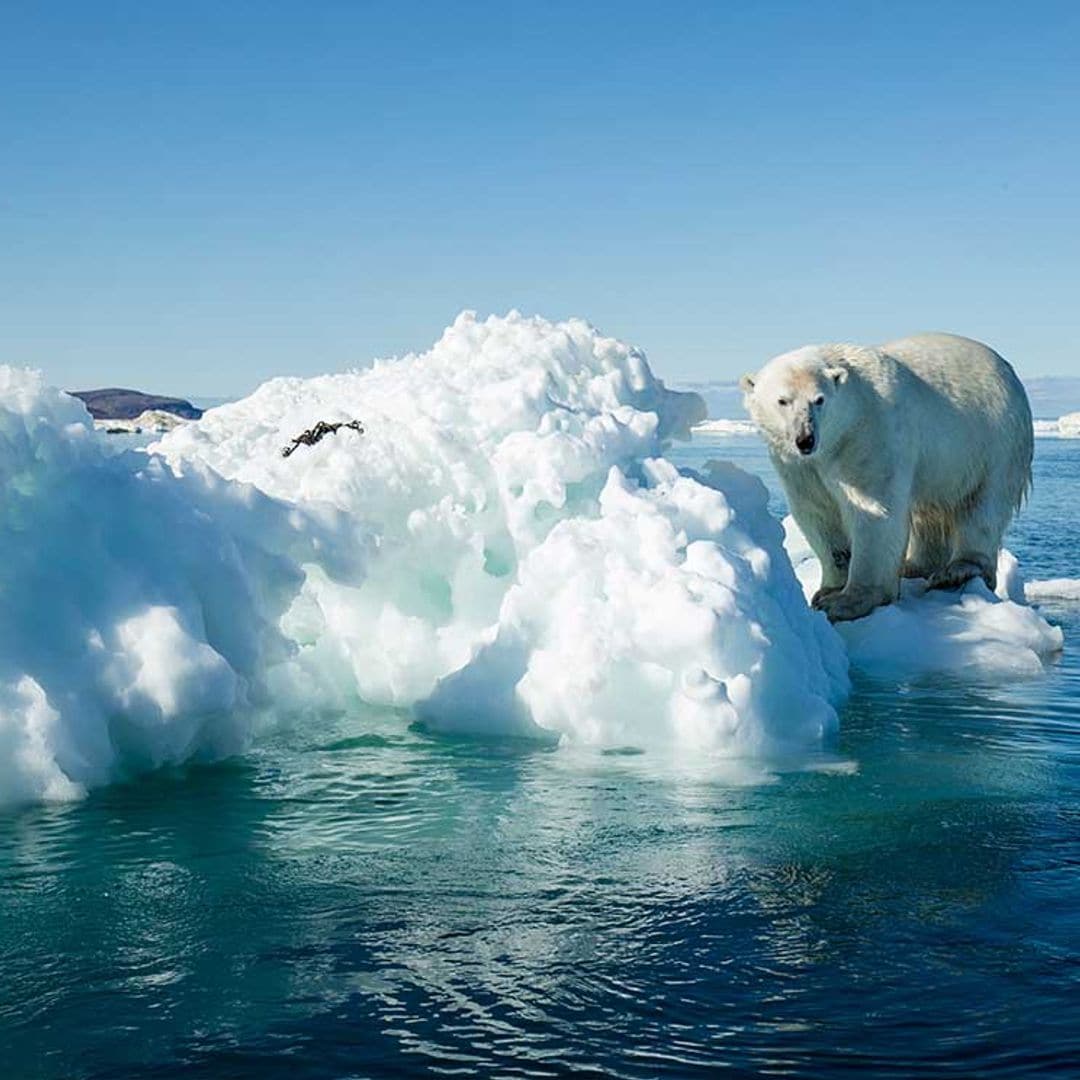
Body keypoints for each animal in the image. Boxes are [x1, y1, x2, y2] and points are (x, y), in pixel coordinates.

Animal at [738, 334, 1032, 626]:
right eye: (783, 401)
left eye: (819, 400)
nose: (805, 439)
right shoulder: (800, 466)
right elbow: (817, 512)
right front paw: (828, 590)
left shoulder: (869, 436)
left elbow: (874, 511)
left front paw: (847, 601)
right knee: (929, 512)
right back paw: (915, 566)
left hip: (993, 439)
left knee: (983, 505)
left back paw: (957, 571)